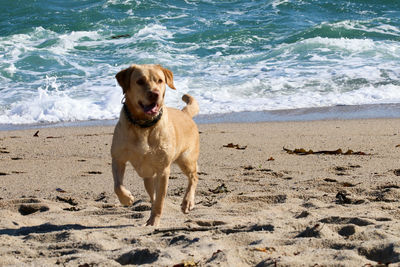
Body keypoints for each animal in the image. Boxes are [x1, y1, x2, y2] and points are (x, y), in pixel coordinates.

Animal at [110, 63, 199, 227]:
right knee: (152, 194)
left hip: (186, 159)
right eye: (140, 81)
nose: (155, 94)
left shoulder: (163, 170)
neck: (143, 125)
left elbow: (160, 200)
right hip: (148, 177)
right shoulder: (118, 159)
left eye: (160, 81)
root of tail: (185, 113)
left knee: (193, 177)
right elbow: (117, 185)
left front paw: (154, 221)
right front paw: (127, 198)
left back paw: (187, 202)